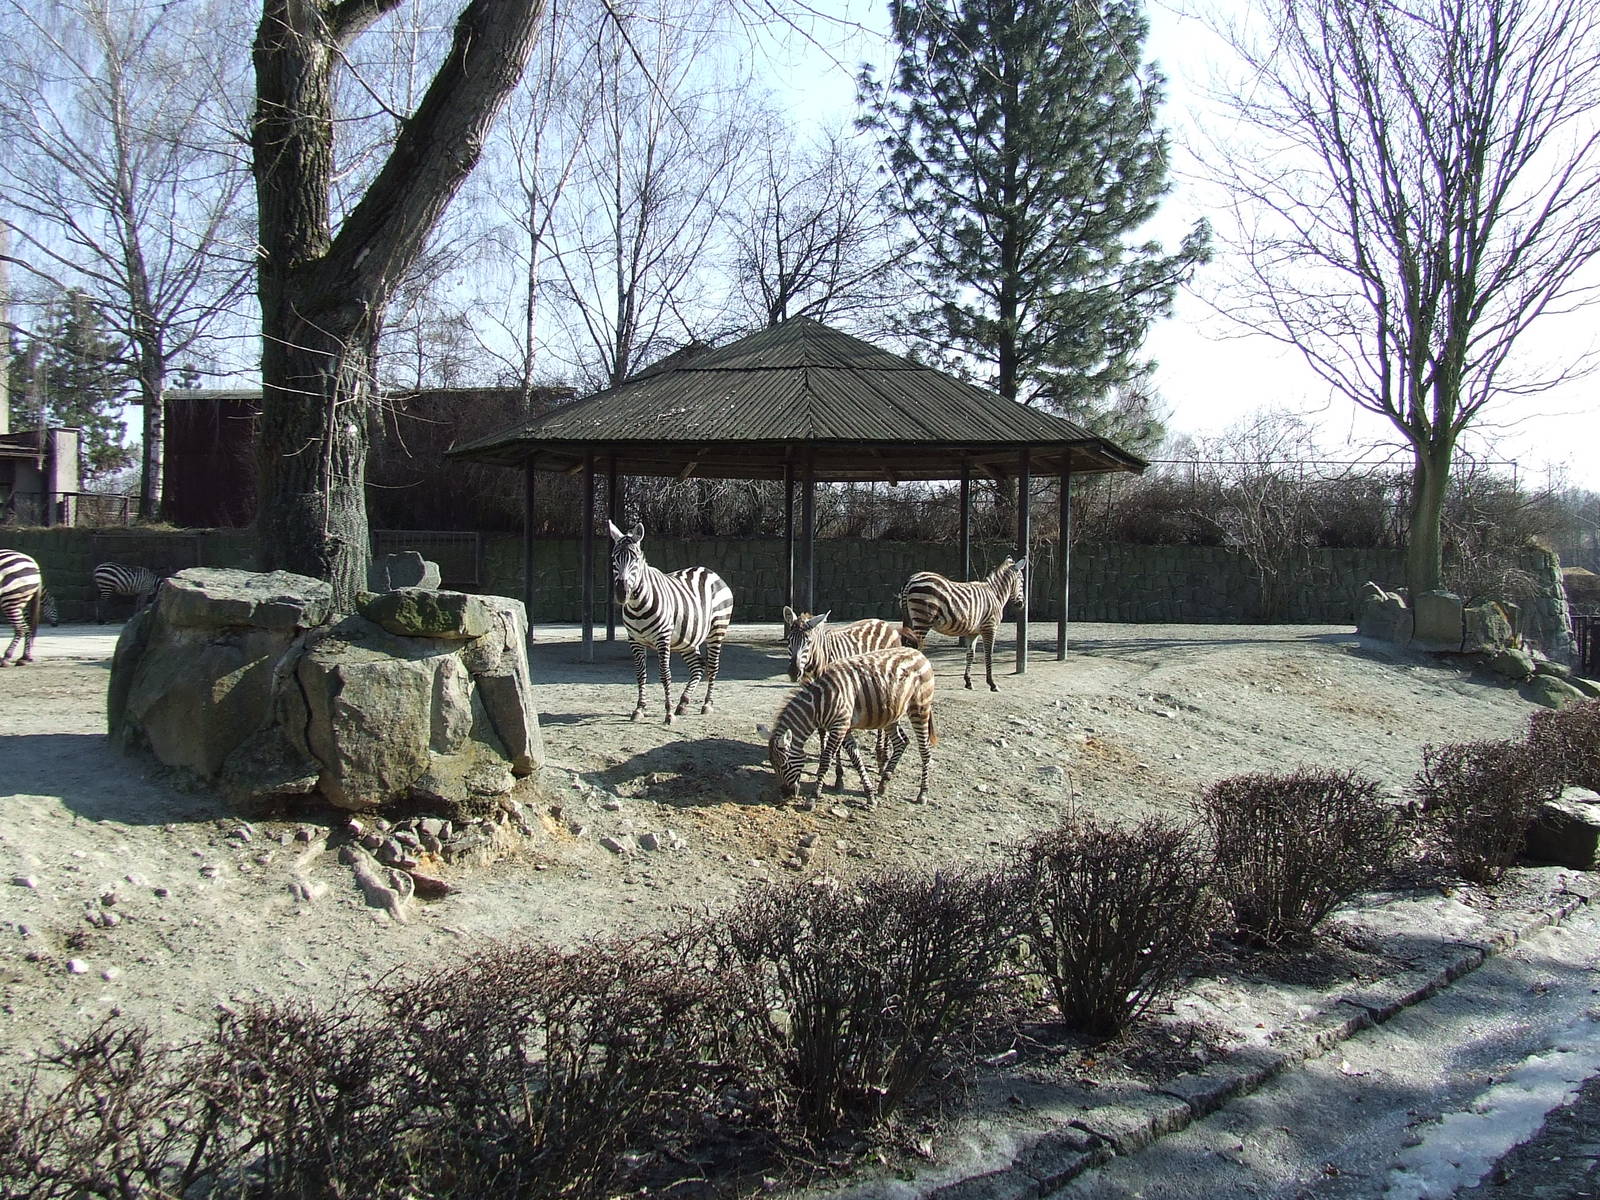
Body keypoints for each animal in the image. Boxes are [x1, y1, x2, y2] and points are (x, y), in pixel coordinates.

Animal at [608, 520, 735, 725]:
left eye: (636, 559)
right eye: (614, 558)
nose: (622, 592)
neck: (637, 605)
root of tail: (710, 571)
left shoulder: (662, 638)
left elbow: (664, 674)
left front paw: (668, 713)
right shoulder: (634, 640)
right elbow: (640, 674)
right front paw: (639, 708)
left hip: (717, 629)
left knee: (713, 666)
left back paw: (707, 704)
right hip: (687, 639)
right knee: (698, 666)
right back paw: (683, 703)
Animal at [767, 646, 938, 806]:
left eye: (783, 764)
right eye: (773, 765)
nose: (785, 794)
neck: (819, 703)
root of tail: (919, 653)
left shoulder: (839, 727)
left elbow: (825, 760)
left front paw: (813, 797)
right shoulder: (844, 728)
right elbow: (856, 758)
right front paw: (870, 795)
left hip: (919, 708)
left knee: (925, 751)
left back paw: (923, 794)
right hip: (891, 714)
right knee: (902, 742)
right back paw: (883, 783)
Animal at [899, 556, 1028, 691]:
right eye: (1022, 581)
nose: (1021, 604)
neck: (995, 595)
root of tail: (911, 579)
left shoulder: (973, 632)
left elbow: (970, 654)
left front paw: (968, 681)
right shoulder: (990, 627)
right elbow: (989, 655)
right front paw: (992, 684)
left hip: (909, 619)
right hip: (922, 620)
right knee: (914, 649)